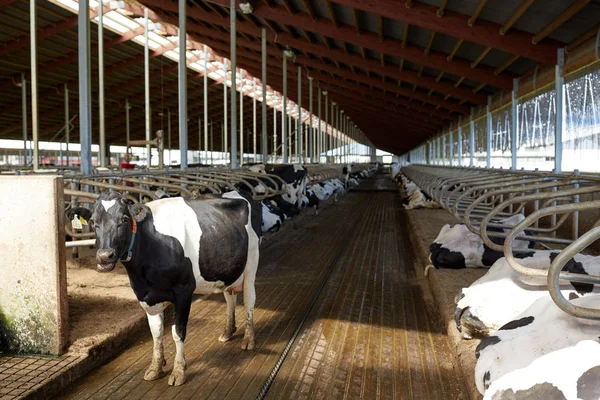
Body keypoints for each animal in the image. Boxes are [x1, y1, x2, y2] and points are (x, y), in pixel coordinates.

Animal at [88, 192, 260, 386]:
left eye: (124, 219)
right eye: (92, 221)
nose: (105, 256)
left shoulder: (184, 290)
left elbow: (177, 332)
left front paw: (178, 371)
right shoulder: (147, 296)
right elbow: (156, 333)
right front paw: (155, 368)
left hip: (251, 263)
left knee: (249, 300)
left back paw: (249, 339)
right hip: (227, 269)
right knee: (230, 297)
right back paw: (227, 332)